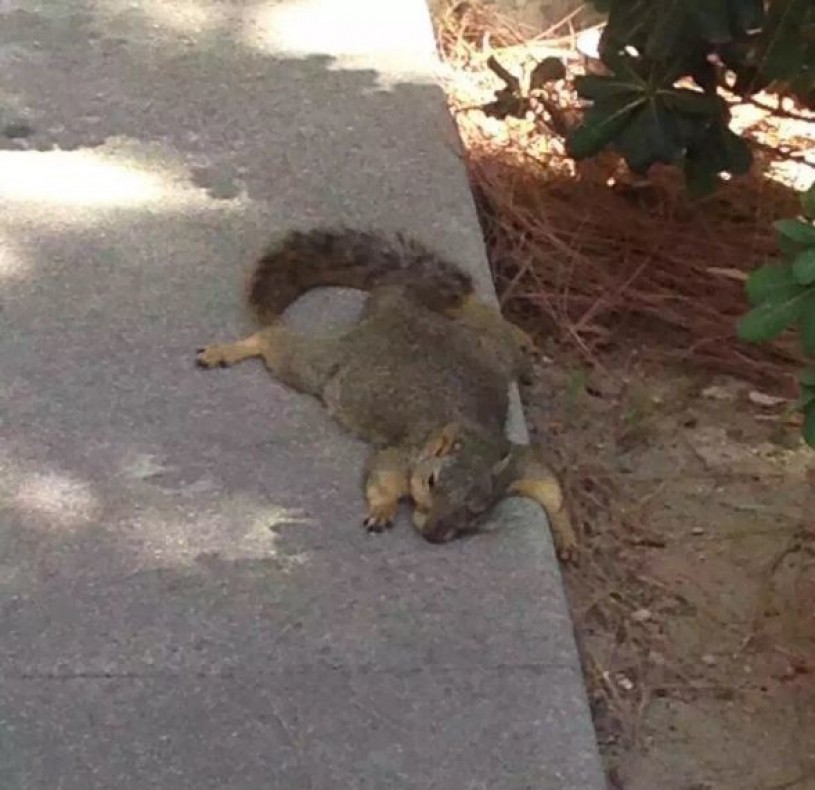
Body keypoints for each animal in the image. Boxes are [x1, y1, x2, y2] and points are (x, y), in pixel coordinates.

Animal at [197, 229, 576, 564]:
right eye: (431, 481)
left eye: (477, 509)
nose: (433, 534)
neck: (473, 436)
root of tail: (399, 300)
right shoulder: (402, 454)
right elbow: (383, 478)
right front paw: (382, 510)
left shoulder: (516, 463)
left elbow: (550, 488)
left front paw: (567, 536)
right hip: (324, 366)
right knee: (274, 343)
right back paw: (227, 351)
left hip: (493, 349)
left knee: (477, 313)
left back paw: (519, 334)